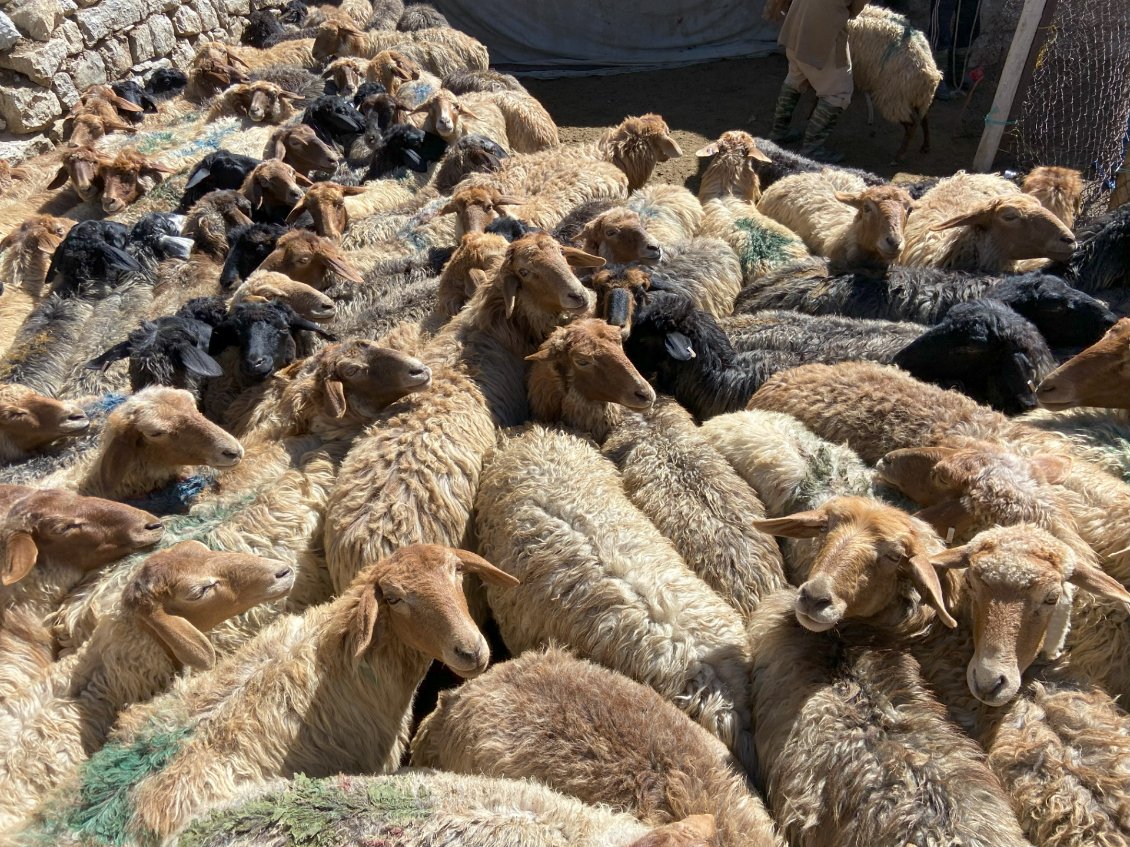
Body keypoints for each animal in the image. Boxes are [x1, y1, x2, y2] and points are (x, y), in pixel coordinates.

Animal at [849, 6, 944, 158]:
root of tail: (931, 73)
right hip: (918, 99)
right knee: (924, 118)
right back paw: (925, 146)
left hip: (893, 98)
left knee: (912, 124)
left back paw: (900, 155)